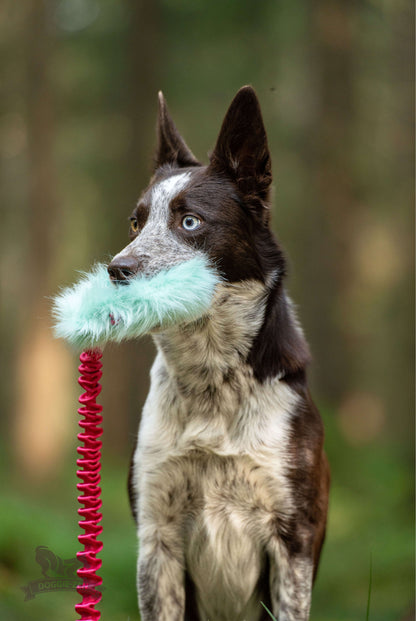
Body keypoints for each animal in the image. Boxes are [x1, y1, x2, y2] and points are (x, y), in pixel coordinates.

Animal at [108, 86, 332, 620]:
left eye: (190, 221)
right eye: (135, 223)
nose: (116, 269)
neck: (211, 380)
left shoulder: (292, 541)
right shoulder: (157, 539)